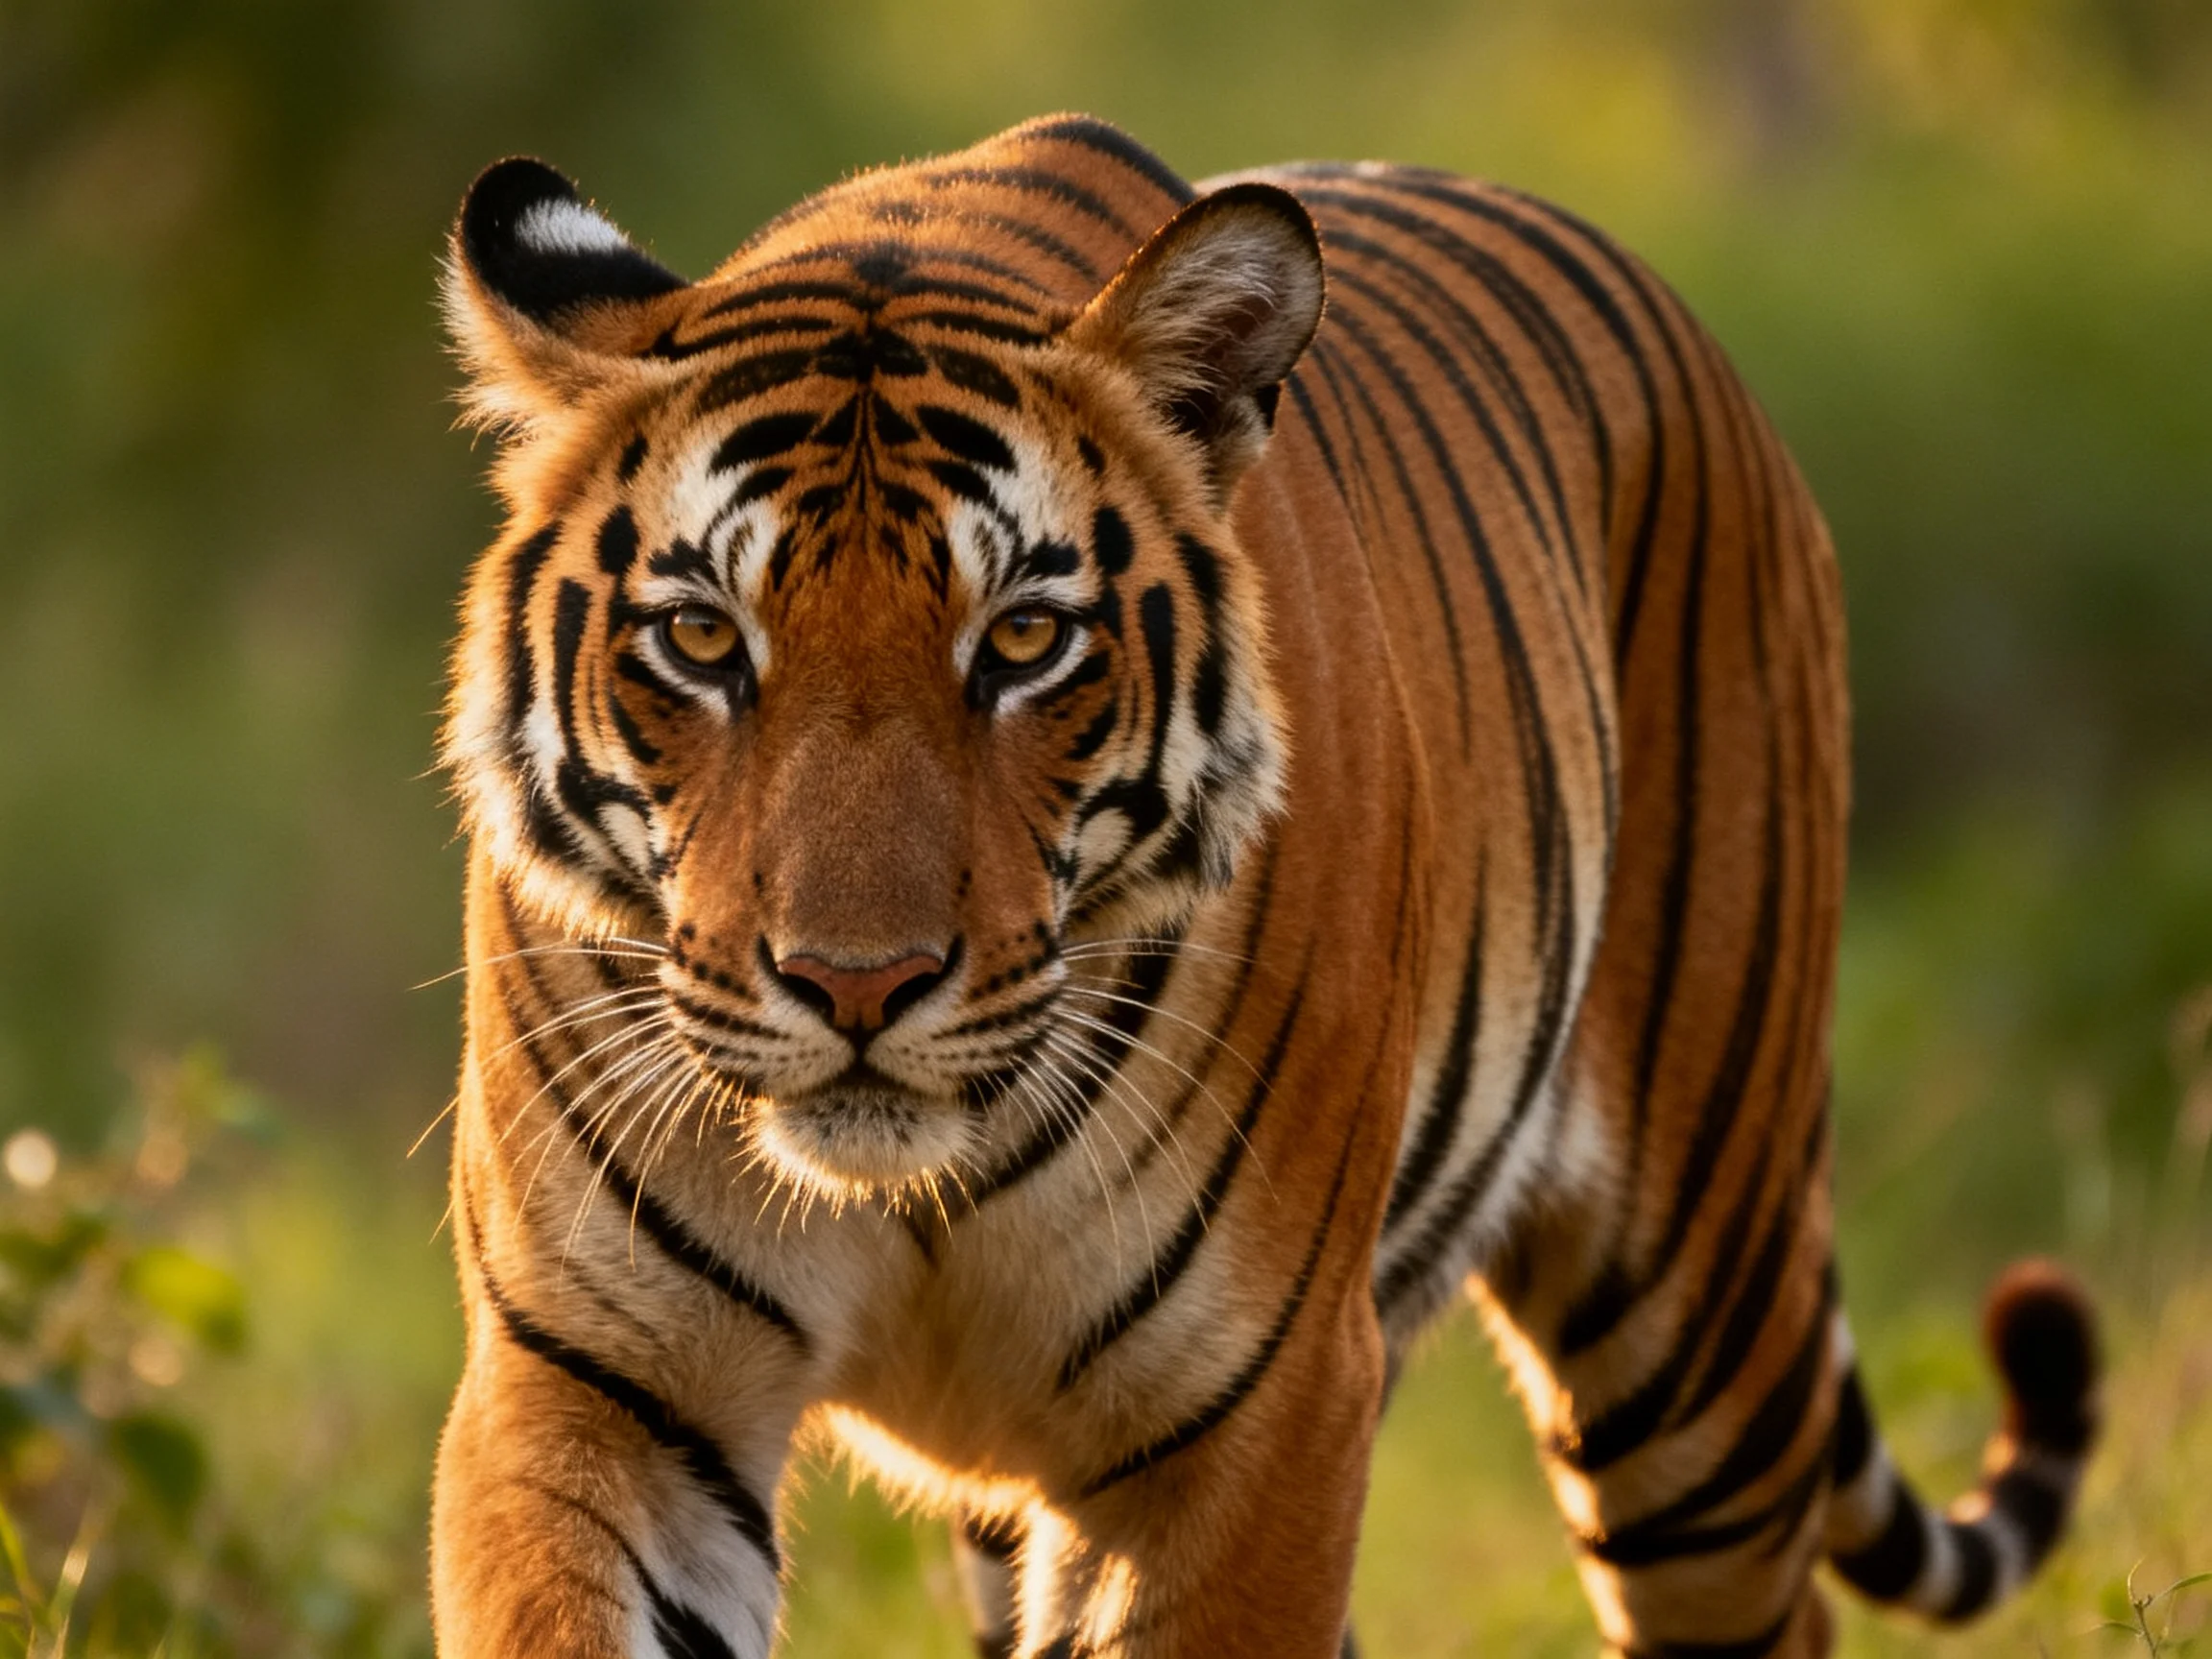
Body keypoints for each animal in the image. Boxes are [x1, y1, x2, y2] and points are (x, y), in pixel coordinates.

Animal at [431, 113, 2099, 1658]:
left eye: (1024, 642)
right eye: (703, 640)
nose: (857, 985)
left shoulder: (1252, 1410)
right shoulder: (599, 1389)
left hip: (1702, 1313)